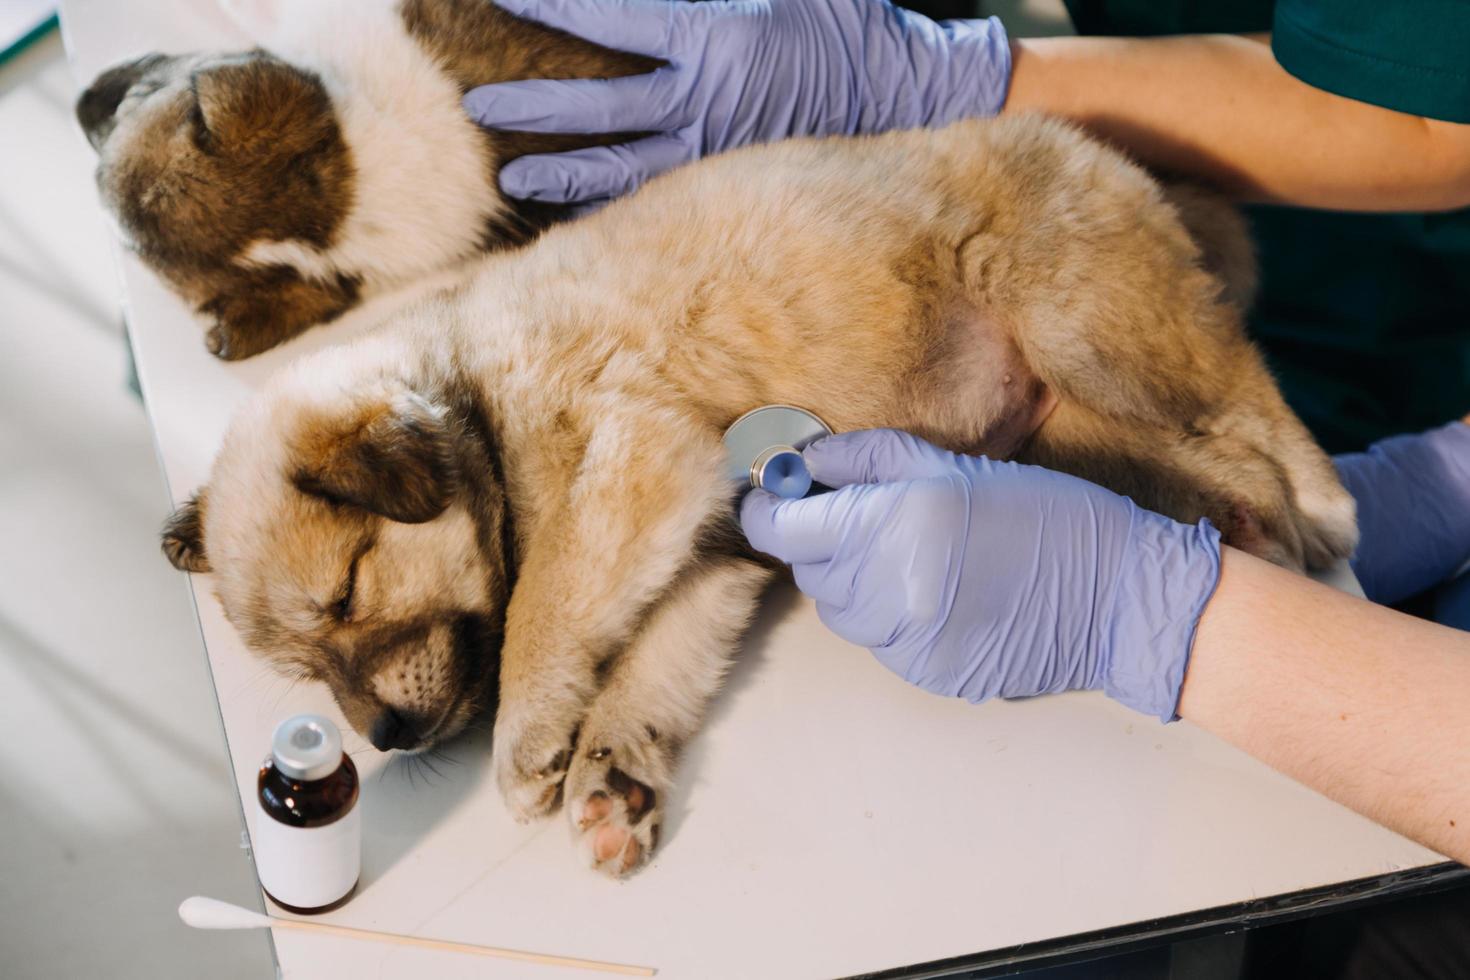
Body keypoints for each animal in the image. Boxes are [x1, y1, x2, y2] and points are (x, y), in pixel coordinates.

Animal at [160, 116, 1352, 881]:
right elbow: (648, 668)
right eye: (307, 667)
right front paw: (613, 777)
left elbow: (546, 606)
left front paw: (529, 738)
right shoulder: (705, 545)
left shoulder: (633, 462)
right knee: (1205, 454)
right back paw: (1210, 534)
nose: (387, 737)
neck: (478, 390)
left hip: (1085, 320)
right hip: (1067, 424)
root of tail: (1121, 162)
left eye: (350, 595)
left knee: (1247, 403)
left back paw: (1315, 514)